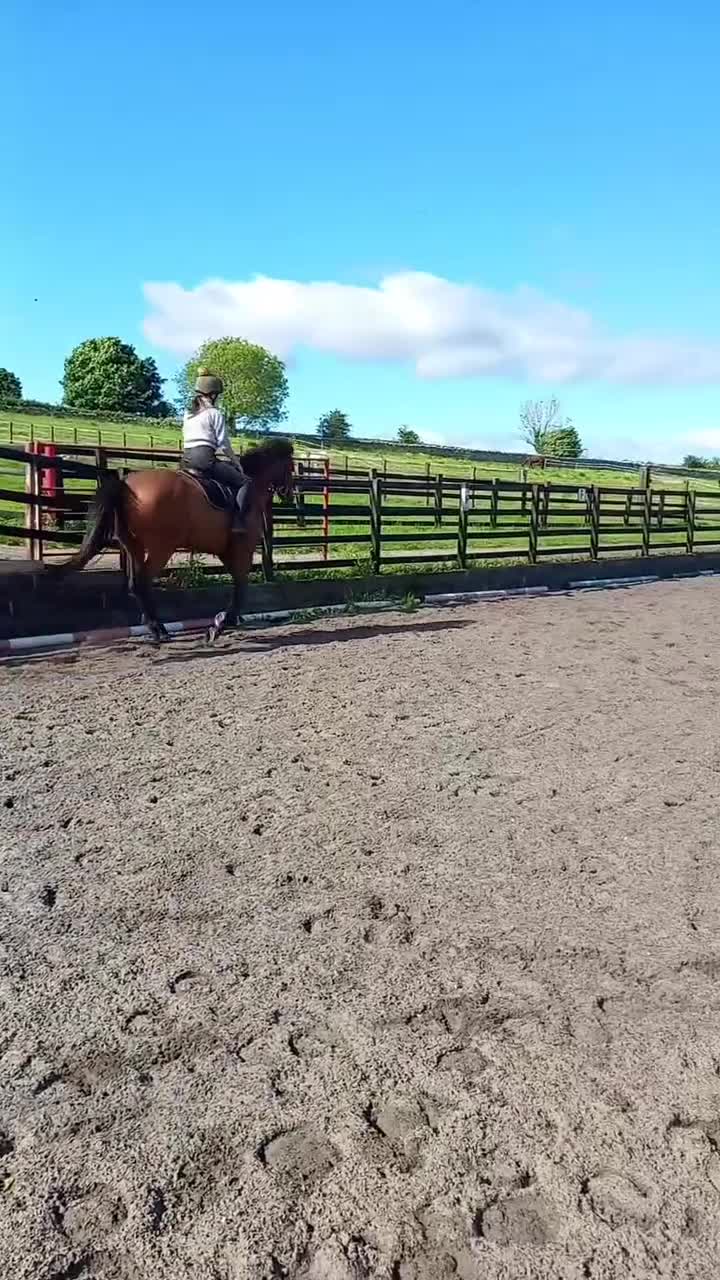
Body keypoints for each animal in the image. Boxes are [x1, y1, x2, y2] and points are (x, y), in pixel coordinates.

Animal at [51, 438, 295, 644]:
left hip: (133, 546)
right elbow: (241, 586)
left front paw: (223, 621)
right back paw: (158, 630)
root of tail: (126, 485)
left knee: (136, 584)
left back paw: (156, 628)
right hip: (162, 547)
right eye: (291, 467)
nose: (289, 494)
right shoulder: (242, 549)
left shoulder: (226, 551)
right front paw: (220, 624)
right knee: (142, 582)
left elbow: (239, 585)